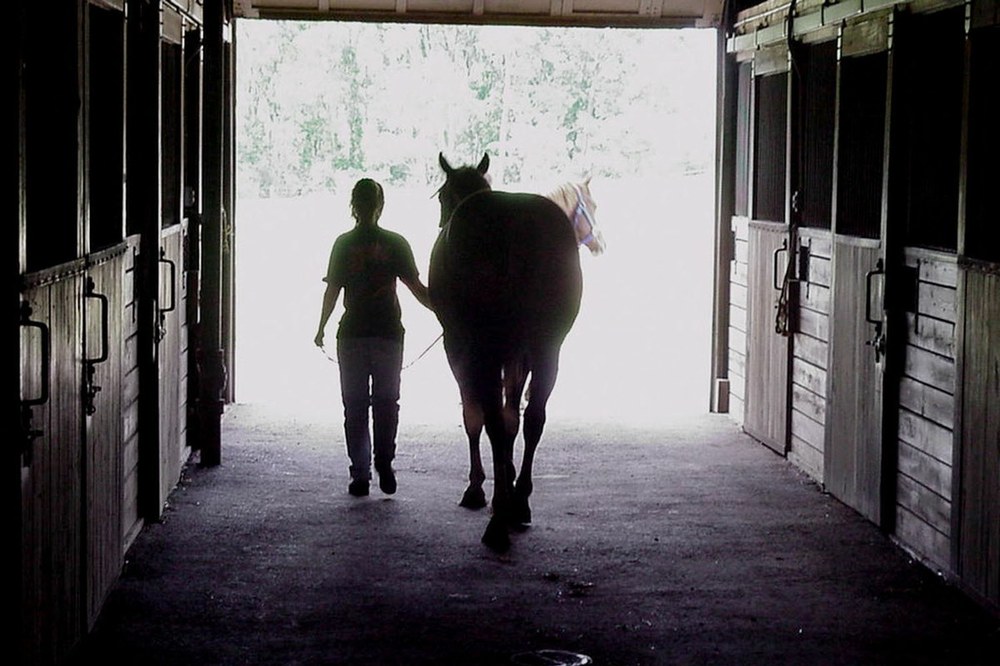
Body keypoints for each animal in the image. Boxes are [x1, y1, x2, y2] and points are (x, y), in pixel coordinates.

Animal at [426, 152, 584, 548]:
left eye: (441, 196)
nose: (441, 220)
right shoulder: (518, 354)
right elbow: (514, 416)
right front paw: (510, 486)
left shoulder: (459, 347)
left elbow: (474, 415)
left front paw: (478, 487)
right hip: (546, 348)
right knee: (534, 418)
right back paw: (520, 502)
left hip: (484, 348)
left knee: (493, 421)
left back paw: (498, 520)